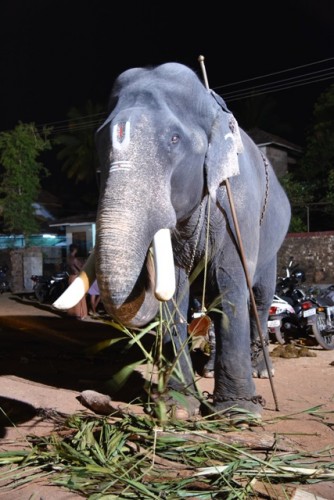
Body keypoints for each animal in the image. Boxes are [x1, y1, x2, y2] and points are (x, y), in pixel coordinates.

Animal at [54, 62, 290, 420]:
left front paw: (238, 413)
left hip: (272, 241)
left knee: (259, 297)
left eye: (174, 139)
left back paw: (263, 372)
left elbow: (230, 286)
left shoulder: (237, 207)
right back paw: (208, 370)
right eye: (98, 142)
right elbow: (176, 291)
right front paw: (178, 407)